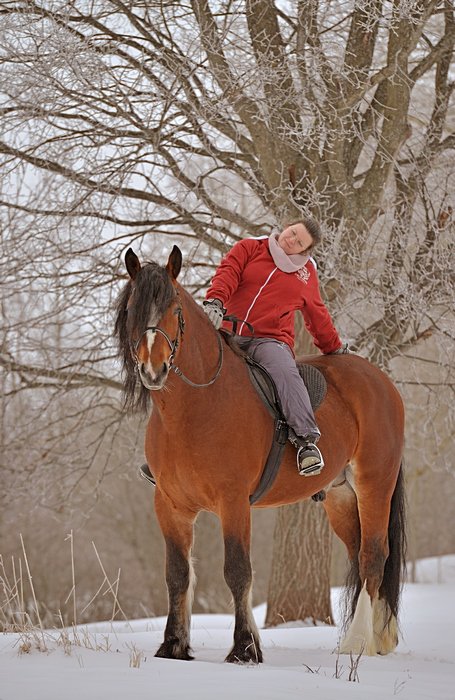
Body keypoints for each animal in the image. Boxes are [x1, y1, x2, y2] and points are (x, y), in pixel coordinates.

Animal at [114, 245, 406, 660]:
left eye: (174, 308)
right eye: (131, 309)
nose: (153, 370)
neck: (196, 406)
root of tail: (380, 380)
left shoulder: (233, 501)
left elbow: (237, 571)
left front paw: (244, 648)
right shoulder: (170, 505)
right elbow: (177, 574)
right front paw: (173, 646)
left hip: (374, 484)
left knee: (374, 556)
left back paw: (358, 642)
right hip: (341, 496)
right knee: (360, 553)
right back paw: (379, 638)